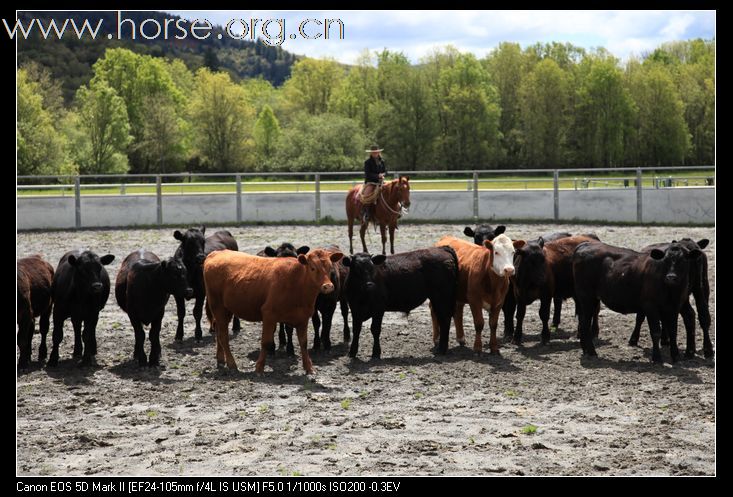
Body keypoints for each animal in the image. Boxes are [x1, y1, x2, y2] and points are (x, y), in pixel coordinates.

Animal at [203, 248, 344, 372]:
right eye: (313, 268)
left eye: (330, 268)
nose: (328, 286)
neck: (297, 282)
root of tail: (216, 253)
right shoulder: (269, 315)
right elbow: (266, 341)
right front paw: (259, 367)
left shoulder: (303, 318)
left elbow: (303, 343)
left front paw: (309, 368)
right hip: (218, 306)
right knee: (223, 336)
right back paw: (232, 364)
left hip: (225, 310)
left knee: (219, 331)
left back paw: (221, 359)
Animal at [568, 239, 700, 360]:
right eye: (665, 260)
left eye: (683, 261)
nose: (671, 277)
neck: (670, 290)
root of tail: (584, 245)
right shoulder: (650, 306)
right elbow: (655, 331)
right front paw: (657, 358)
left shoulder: (674, 306)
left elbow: (673, 331)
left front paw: (675, 356)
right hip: (586, 297)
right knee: (584, 323)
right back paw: (592, 352)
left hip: (591, 299)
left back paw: (586, 350)